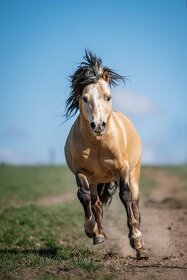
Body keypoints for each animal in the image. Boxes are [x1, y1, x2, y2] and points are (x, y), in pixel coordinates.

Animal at [64, 49, 149, 260]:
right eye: (85, 98)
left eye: (108, 97)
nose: (98, 125)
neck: (98, 144)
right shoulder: (81, 172)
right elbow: (84, 196)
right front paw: (91, 230)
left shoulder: (122, 169)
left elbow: (126, 196)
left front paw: (135, 239)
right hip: (96, 180)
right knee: (95, 203)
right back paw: (99, 234)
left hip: (134, 173)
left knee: (135, 204)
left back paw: (141, 248)